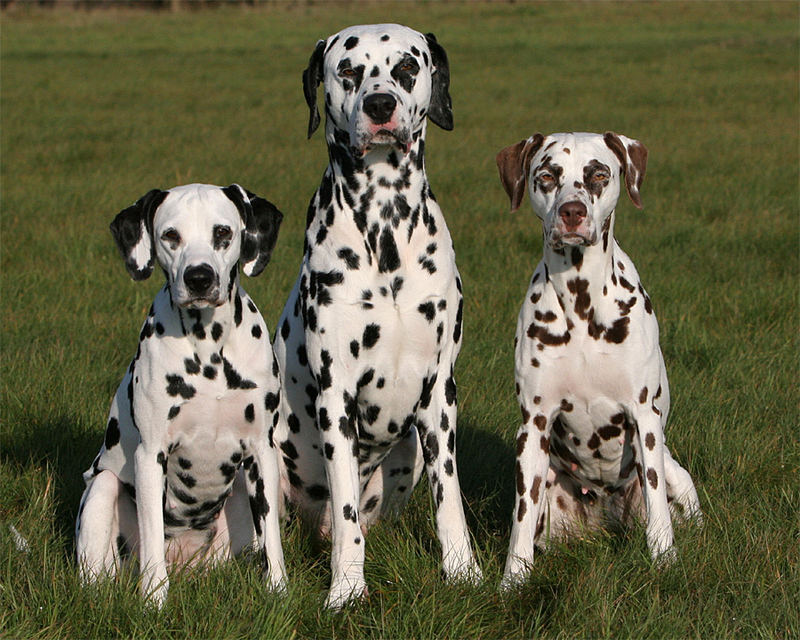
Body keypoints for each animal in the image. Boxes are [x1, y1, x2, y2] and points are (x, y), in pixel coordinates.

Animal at [75, 184, 288, 604]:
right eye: (170, 236)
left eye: (223, 232)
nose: (199, 278)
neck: (209, 351)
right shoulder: (150, 455)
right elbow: (154, 537)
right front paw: (154, 601)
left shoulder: (262, 451)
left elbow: (272, 535)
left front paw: (279, 590)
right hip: (103, 487)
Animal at [272, 22, 478, 608]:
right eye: (348, 71)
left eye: (407, 67)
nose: (380, 104)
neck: (384, 229)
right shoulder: (336, 394)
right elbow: (346, 516)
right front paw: (345, 589)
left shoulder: (440, 395)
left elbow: (449, 501)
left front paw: (464, 573)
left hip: (409, 452)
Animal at [494, 132, 700, 588]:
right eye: (547, 175)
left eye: (599, 174)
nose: (573, 212)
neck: (581, 299)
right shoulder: (533, 425)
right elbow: (520, 519)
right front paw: (513, 580)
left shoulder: (644, 418)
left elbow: (657, 508)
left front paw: (666, 561)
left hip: (676, 473)